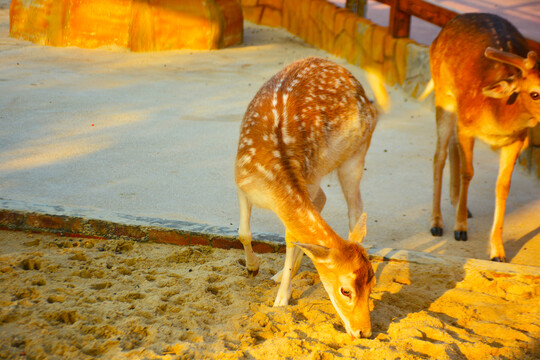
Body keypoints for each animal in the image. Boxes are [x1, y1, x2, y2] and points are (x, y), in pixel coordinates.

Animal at [235, 56, 380, 338]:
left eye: (373, 284)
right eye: (345, 290)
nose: (364, 332)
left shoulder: (306, 181)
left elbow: (292, 237)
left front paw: (281, 299)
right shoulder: (241, 182)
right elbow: (244, 232)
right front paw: (253, 268)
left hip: (354, 154)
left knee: (353, 208)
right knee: (328, 202)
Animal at [426, 13, 540, 262]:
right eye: (535, 93)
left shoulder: (516, 141)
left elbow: (503, 186)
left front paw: (498, 251)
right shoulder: (468, 127)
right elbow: (467, 173)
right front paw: (460, 230)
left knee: (451, 144)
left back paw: (458, 202)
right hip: (443, 94)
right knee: (438, 155)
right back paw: (437, 223)